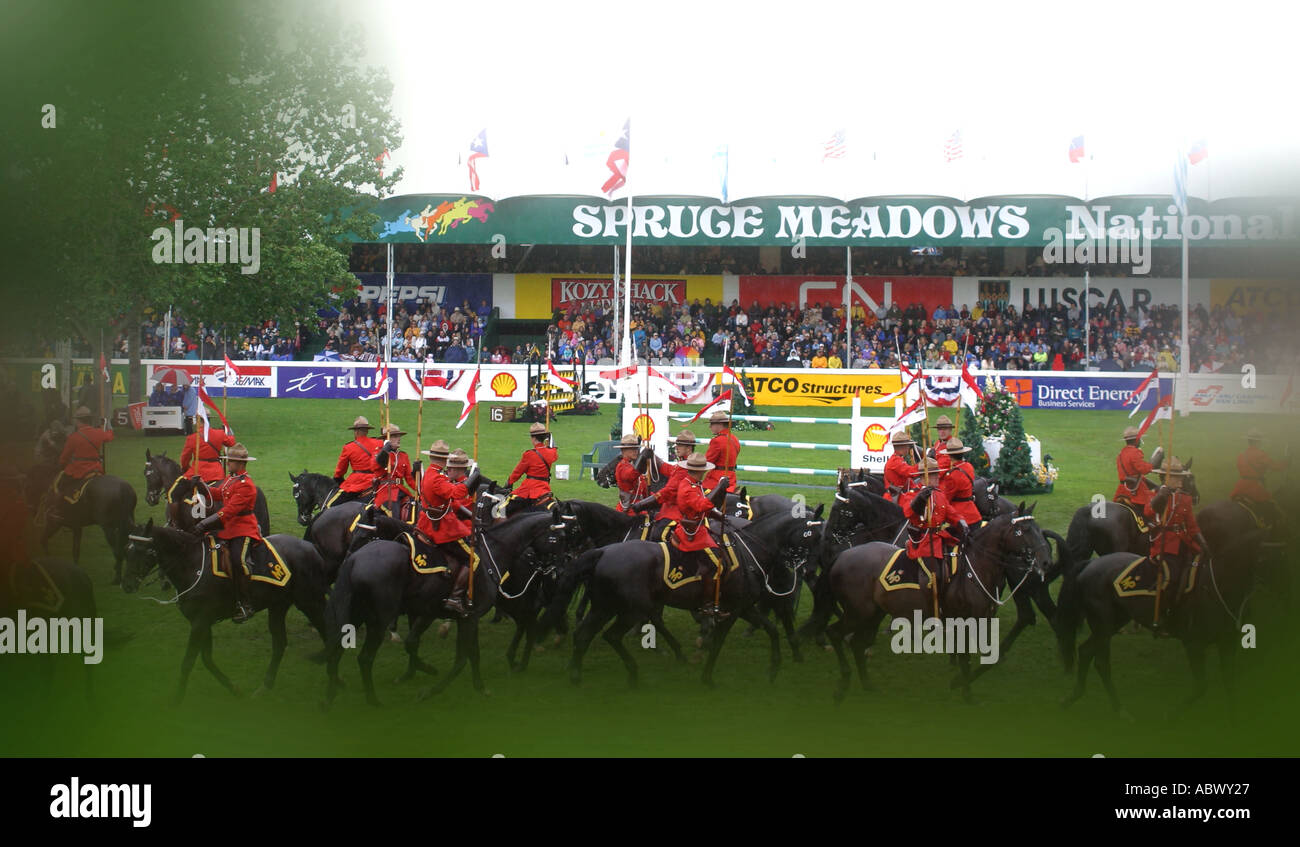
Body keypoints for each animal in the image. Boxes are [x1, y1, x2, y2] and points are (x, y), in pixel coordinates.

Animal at [122, 519, 330, 706]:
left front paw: (176, 700)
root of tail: (312, 547)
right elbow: (207, 659)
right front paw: (234, 688)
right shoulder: (202, 622)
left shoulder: (199, 622)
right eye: (127, 550)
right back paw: (265, 687)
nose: (127, 585)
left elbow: (188, 661)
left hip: (310, 602)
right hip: (278, 606)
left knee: (328, 634)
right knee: (279, 643)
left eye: (141, 551)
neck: (193, 565)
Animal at [322, 509, 566, 706]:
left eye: (363, 534)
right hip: (376, 619)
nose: (561, 566)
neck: (494, 552)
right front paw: (428, 683)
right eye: (561, 537)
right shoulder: (461, 616)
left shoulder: (458, 615)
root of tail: (356, 562)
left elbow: (464, 653)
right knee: (361, 657)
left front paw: (476, 686)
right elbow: (459, 656)